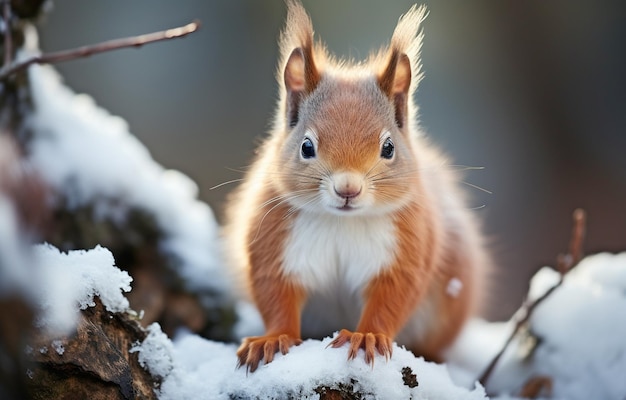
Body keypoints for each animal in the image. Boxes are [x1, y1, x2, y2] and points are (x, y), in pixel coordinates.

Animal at [222, 1, 490, 374]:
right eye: (306, 146)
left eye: (388, 148)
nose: (347, 189)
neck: (342, 222)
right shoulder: (273, 242)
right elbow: (275, 294)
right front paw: (273, 338)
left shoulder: (406, 247)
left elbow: (391, 297)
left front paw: (367, 337)